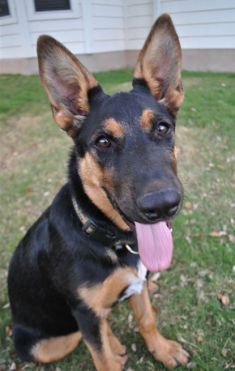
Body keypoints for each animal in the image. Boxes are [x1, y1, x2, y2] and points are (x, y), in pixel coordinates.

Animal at [7, 13, 189, 370]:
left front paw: (161, 349)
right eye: (103, 142)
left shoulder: (138, 284)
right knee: (81, 334)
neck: (108, 238)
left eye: (163, 128)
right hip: (42, 345)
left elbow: (147, 319)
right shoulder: (84, 312)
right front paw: (117, 350)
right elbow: (101, 355)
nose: (163, 206)